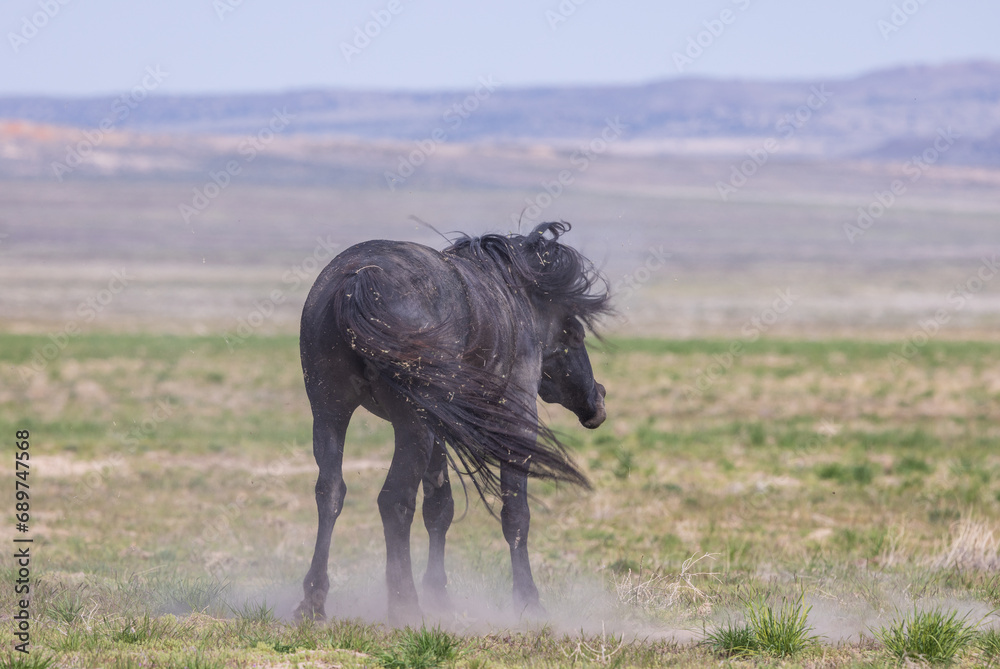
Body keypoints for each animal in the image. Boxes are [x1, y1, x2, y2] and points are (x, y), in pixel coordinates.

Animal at [293, 220, 612, 624]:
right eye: (575, 332)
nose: (598, 400)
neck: (514, 304)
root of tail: (357, 280)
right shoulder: (519, 420)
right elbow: (516, 514)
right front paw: (528, 601)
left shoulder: (439, 429)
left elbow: (440, 508)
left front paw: (439, 596)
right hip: (409, 426)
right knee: (394, 500)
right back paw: (403, 605)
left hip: (330, 412)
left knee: (331, 492)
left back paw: (313, 601)